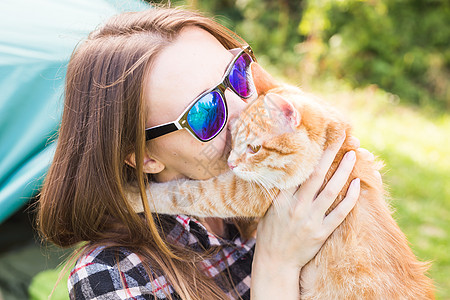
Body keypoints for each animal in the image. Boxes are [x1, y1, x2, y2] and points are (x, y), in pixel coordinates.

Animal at [125, 63, 432, 298]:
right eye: (233, 138)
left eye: (254, 148)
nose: (231, 163)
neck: (333, 149)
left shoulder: (237, 192)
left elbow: (181, 192)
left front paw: (134, 197)